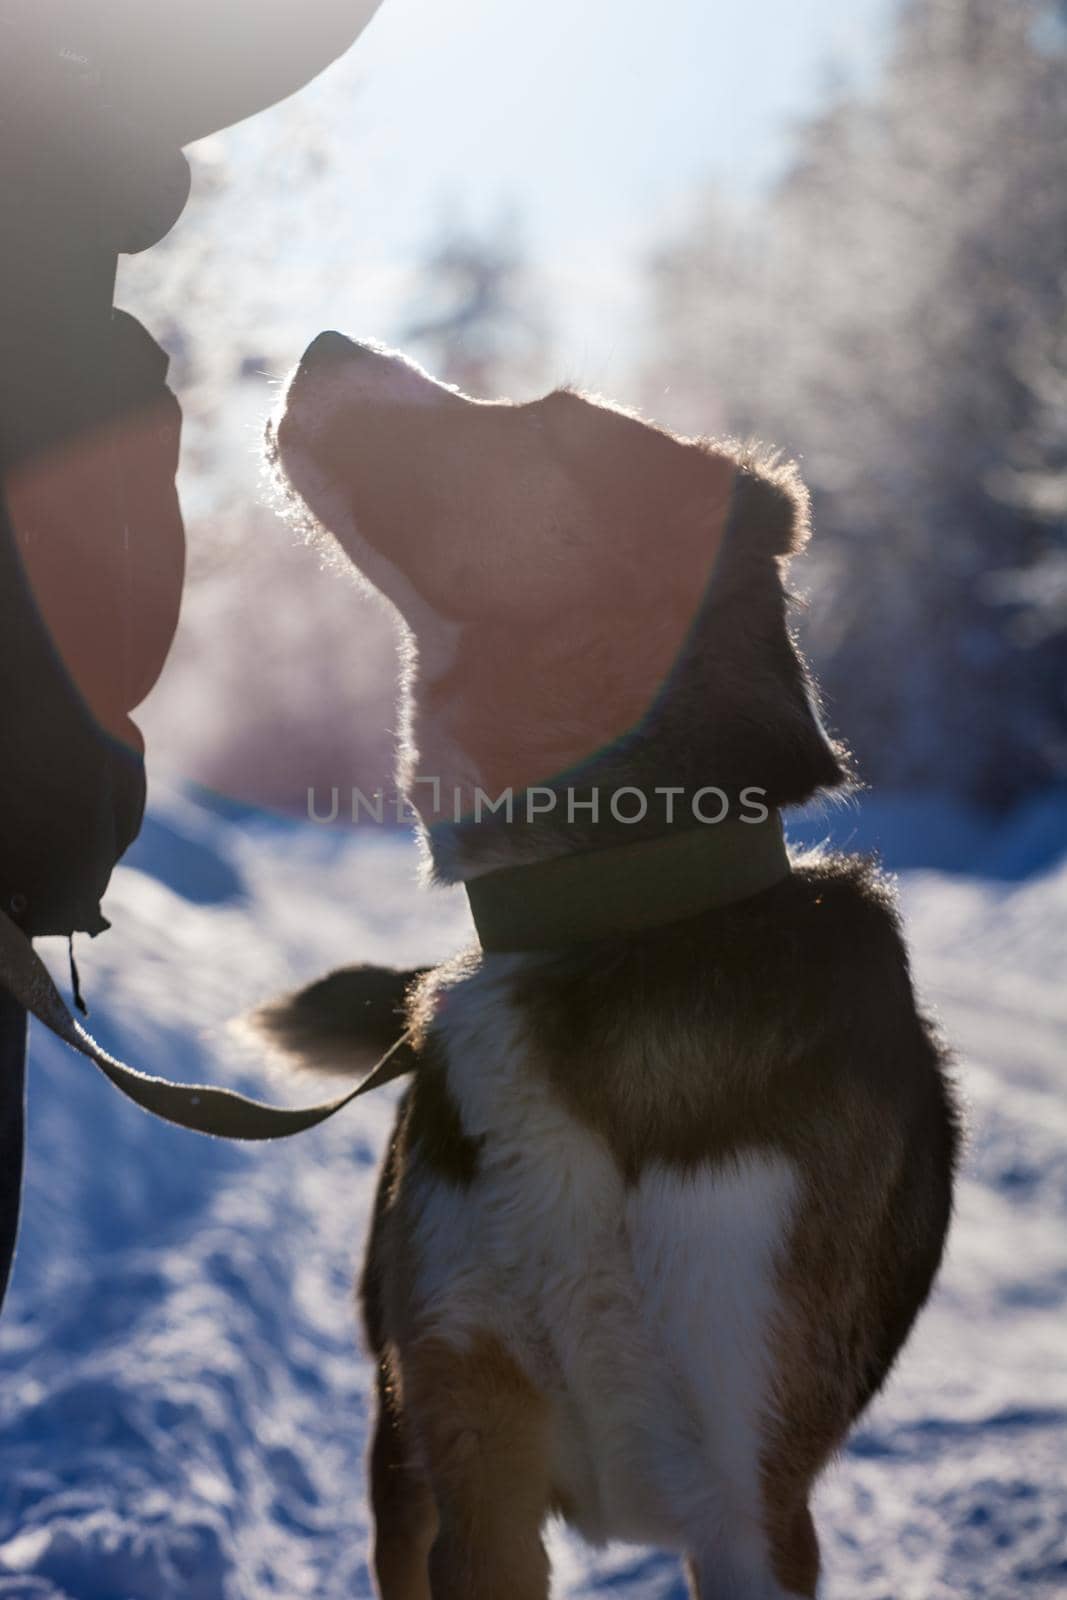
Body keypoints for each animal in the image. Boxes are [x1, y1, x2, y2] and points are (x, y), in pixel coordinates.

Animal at [259, 331, 959, 1593]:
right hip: (396, 1455)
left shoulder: (752, 1497)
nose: (324, 343)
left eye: (545, 419)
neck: (603, 913)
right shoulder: (469, 1447)